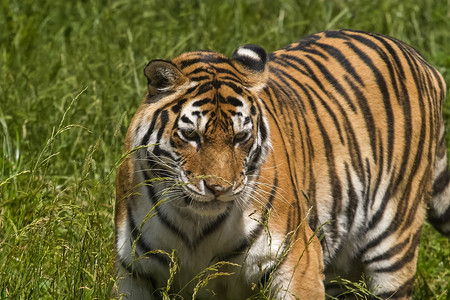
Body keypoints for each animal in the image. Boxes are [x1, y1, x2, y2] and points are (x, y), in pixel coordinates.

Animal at [114, 28, 448, 300]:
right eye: (191, 135)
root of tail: (418, 57)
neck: (194, 225)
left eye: (241, 137)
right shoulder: (134, 271)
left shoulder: (297, 257)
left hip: (393, 240)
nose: (218, 188)